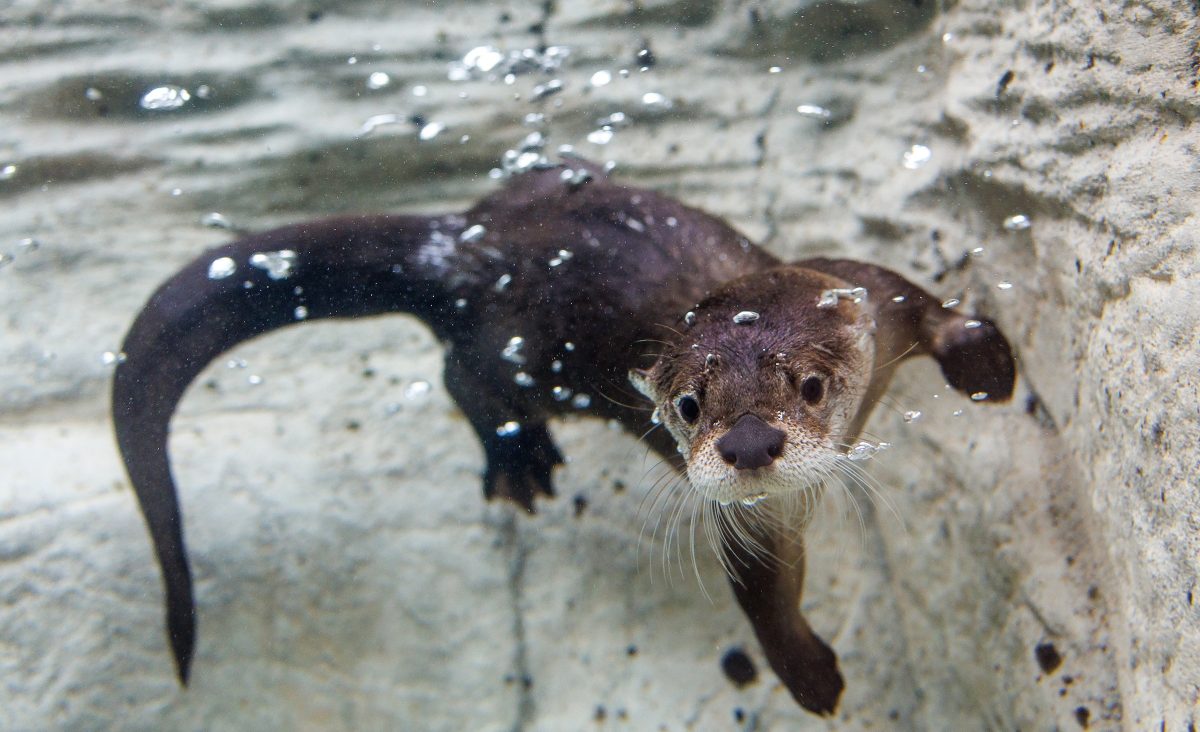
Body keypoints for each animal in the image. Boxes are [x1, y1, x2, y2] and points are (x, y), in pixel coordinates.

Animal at [112, 158, 1012, 710]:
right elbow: (764, 589)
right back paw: (518, 459)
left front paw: (986, 361)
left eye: (812, 386)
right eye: (689, 406)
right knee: (460, 378)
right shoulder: (751, 516)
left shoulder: (864, 292)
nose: (750, 444)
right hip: (506, 352)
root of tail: (462, 247)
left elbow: (921, 301)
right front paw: (807, 671)